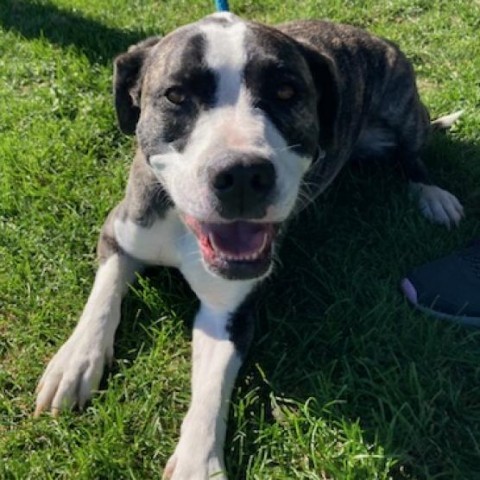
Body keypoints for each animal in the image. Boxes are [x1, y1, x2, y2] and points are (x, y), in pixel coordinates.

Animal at [33, 12, 462, 480]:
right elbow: (103, 296)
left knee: (412, 155)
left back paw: (433, 194)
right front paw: (75, 361)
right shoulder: (120, 231)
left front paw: (197, 464)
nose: (241, 174)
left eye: (286, 92)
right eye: (176, 95)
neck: (183, 224)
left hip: (403, 109)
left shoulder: (229, 313)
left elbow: (210, 390)